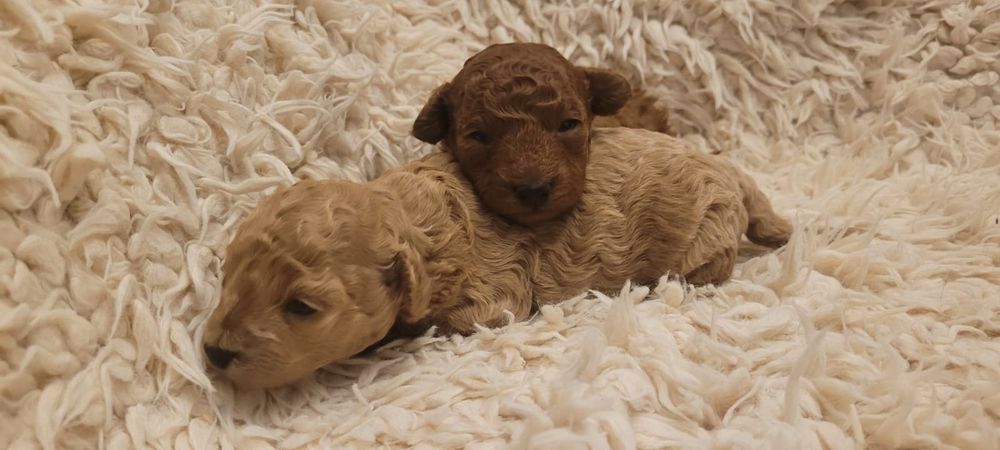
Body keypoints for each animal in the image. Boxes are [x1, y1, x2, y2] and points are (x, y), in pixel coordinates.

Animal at [202, 127, 792, 389]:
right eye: (227, 275)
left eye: (302, 308)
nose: (212, 352)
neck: (417, 220)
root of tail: (727, 169)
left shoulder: (494, 292)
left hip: (708, 229)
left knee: (714, 265)